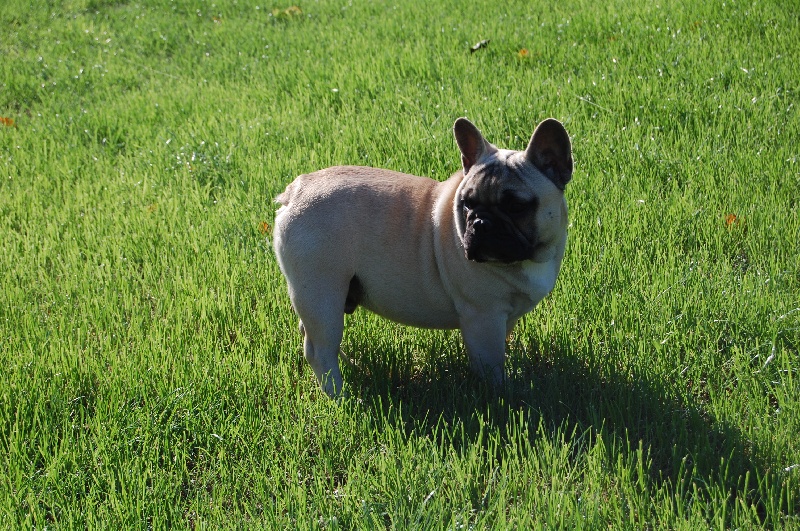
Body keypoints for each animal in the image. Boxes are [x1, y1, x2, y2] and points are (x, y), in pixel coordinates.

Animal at [273, 117, 572, 396]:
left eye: (516, 206)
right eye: (467, 204)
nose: (481, 223)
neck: (527, 258)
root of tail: (296, 191)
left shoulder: (505, 318)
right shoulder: (484, 318)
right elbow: (492, 366)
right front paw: (501, 395)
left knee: (310, 333)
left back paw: (351, 367)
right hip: (322, 295)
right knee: (320, 350)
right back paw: (340, 396)